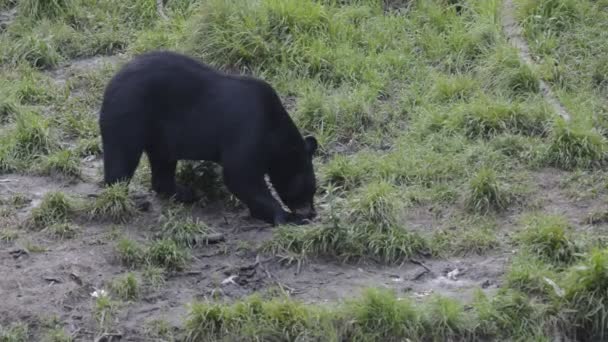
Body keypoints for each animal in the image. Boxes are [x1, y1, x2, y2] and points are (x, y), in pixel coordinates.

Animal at [98, 50, 318, 226]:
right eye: (306, 190)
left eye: (312, 190)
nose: (312, 213)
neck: (274, 130)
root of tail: (110, 83)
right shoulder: (248, 130)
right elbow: (240, 174)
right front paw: (286, 216)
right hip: (129, 114)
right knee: (122, 156)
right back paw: (128, 199)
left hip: (160, 133)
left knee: (162, 163)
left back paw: (186, 193)